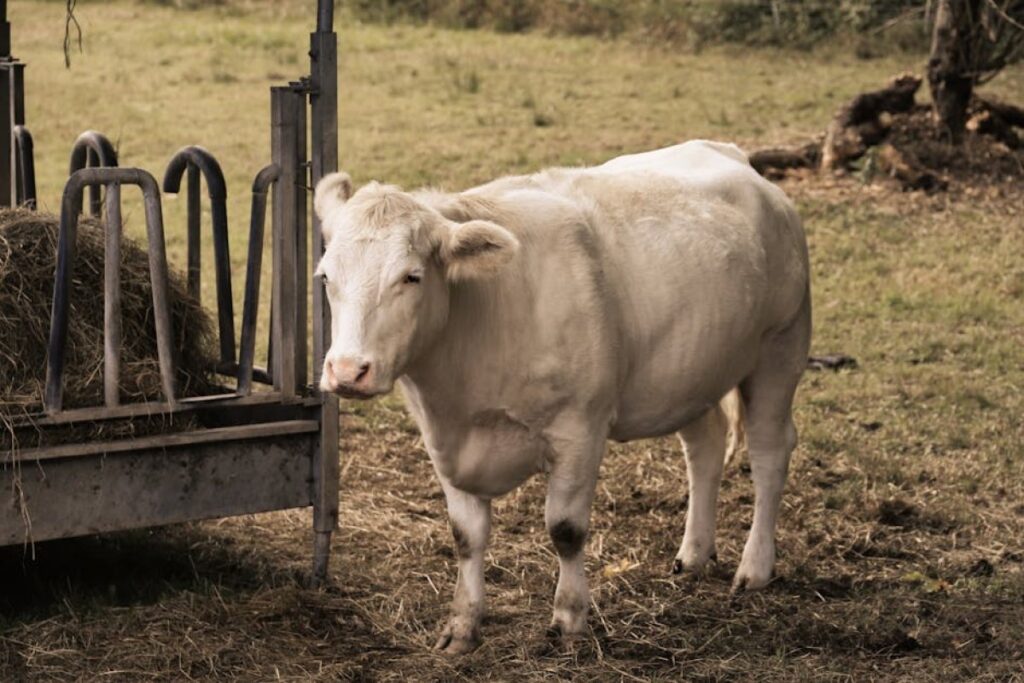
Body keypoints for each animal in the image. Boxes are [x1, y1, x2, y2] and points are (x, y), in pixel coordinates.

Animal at [314, 140, 811, 654]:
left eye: (411, 277)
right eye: (325, 277)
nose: (347, 371)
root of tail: (731, 154)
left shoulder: (579, 430)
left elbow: (566, 530)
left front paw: (570, 619)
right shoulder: (443, 438)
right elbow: (466, 536)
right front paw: (462, 626)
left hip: (780, 347)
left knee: (770, 453)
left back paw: (754, 568)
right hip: (693, 369)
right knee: (705, 448)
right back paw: (693, 553)